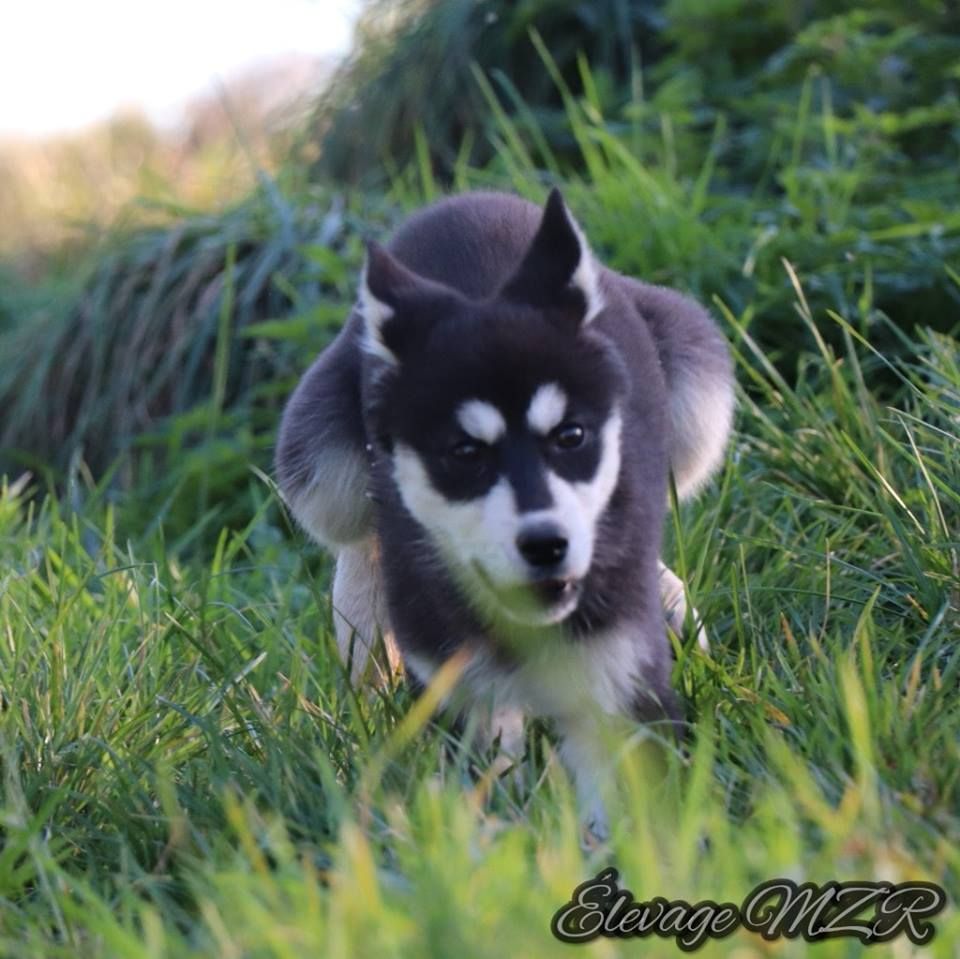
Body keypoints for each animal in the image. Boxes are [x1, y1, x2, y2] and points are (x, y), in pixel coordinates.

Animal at [276, 190, 734, 837]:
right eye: (464, 454)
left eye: (572, 436)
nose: (546, 545)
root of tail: (469, 198)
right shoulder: (461, 682)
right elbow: (485, 781)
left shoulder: (615, 674)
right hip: (318, 469)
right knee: (358, 546)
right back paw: (366, 673)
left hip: (696, 396)